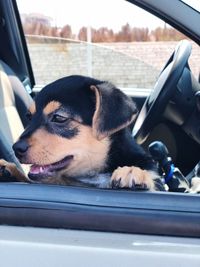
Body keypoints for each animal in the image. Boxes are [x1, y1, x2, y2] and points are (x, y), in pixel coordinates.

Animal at [0, 75, 164, 192]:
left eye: (59, 118)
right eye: (29, 117)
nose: (16, 148)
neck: (91, 176)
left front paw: (133, 171)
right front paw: (9, 169)